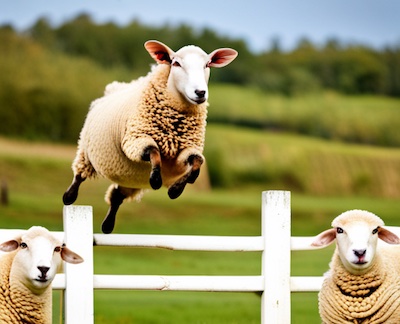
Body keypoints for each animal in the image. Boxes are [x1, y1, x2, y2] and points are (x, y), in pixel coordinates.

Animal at [62, 39, 238, 233]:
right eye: (176, 63)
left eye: (207, 64)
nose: (200, 92)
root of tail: (114, 87)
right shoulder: (135, 140)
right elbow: (154, 151)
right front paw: (155, 180)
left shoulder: (186, 150)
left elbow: (197, 164)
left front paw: (175, 189)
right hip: (86, 151)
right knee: (79, 175)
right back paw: (69, 197)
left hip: (129, 179)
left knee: (116, 197)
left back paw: (107, 225)